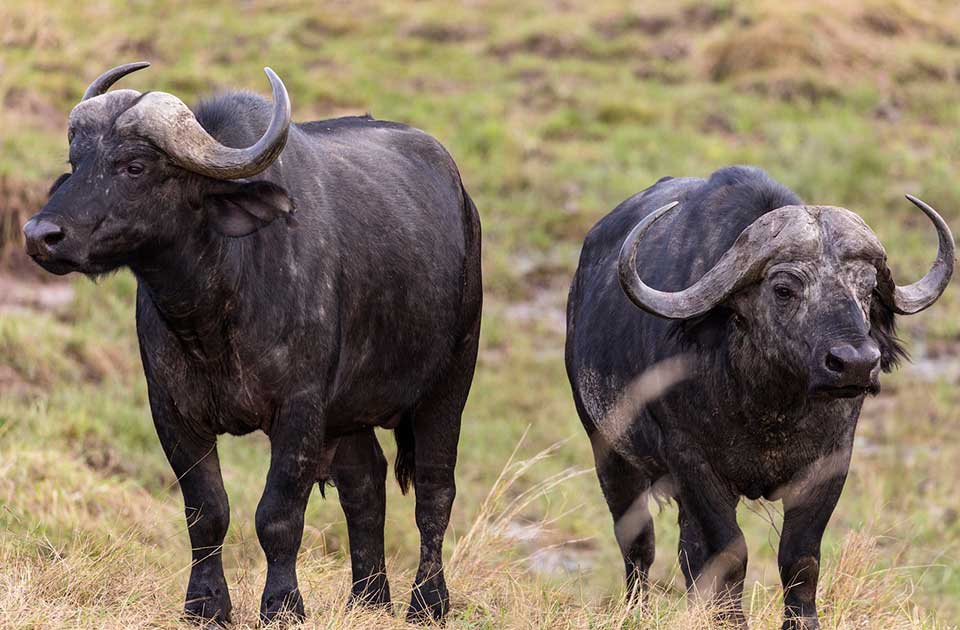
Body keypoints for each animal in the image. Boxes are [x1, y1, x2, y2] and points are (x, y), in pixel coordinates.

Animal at [26, 63, 484, 628]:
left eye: (134, 166)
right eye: (76, 161)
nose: (40, 234)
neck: (214, 313)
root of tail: (463, 201)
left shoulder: (299, 410)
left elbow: (278, 516)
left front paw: (283, 604)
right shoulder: (172, 412)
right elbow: (206, 511)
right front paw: (205, 605)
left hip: (450, 380)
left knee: (434, 490)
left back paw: (428, 603)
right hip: (348, 412)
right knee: (365, 485)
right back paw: (368, 599)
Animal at [564, 165, 952, 628]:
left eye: (866, 287)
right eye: (784, 289)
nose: (856, 363)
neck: (768, 408)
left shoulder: (830, 464)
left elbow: (800, 557)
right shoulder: (694, 464)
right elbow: (730, 553)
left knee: (687, 553)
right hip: (609, 450)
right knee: (638, 543)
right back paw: (635, 611)